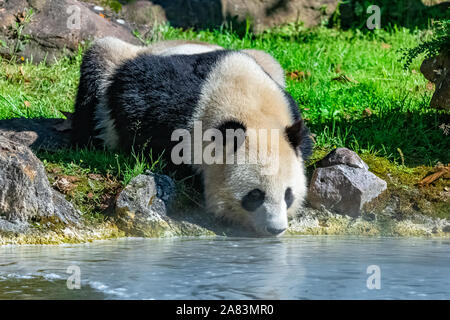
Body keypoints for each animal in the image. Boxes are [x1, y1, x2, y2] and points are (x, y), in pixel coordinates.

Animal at [74, 38, 312, 238]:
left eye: (288, 194)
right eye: (255, 195)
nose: (276, 229)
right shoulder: (164, 101)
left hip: (267, 60)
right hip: (114, 61)